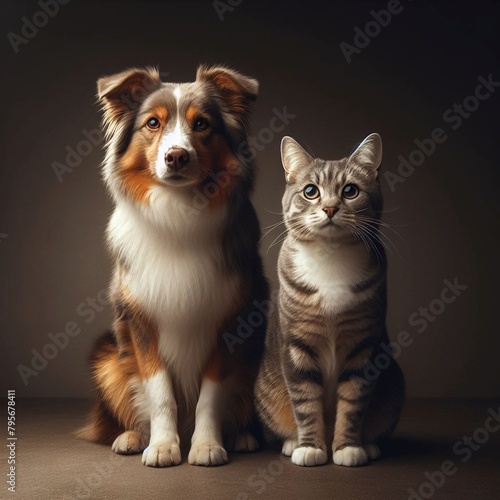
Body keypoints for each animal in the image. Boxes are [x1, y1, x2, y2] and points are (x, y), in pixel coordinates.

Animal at [76, 64, 268, 466]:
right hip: (107, 356)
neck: (178, 211)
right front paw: (163, 446)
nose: (176, 156)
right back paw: (132, 437)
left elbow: (211, 395)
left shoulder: (229, 321)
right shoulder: (141, 322)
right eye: (153, 123)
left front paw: (207, 446)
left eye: (202, 124)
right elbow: (160, 392)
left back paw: (243, 437)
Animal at [256, 133, 404, 464]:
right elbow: (305, 401)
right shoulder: (297, 346)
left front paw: (348, 447)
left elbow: (353, 402)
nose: (330, 208)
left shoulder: (364, 346)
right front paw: (310, 447)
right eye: (311, 191)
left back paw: (369, 445)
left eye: (350, 190)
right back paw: (292, 442)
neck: (330, 255)